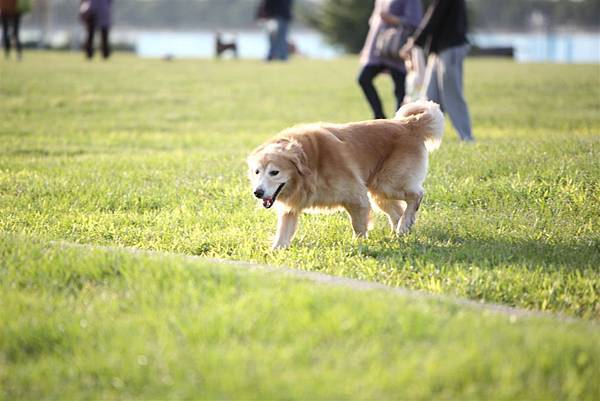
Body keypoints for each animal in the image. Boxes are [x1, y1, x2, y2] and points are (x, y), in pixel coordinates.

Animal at [245, 100, 446, 248]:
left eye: (274, 172)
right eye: (257, 172)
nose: (258, 192)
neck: (311, 161)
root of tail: (408, 124)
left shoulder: (355, 195)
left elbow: (358, 224)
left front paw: (359, 245)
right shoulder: (291, 208)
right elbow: (283, 233)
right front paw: (275, 252)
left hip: (388, 184)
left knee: (417, 195)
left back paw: (404, 225)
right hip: (379, 193)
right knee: (397, 212)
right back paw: (401, 231)